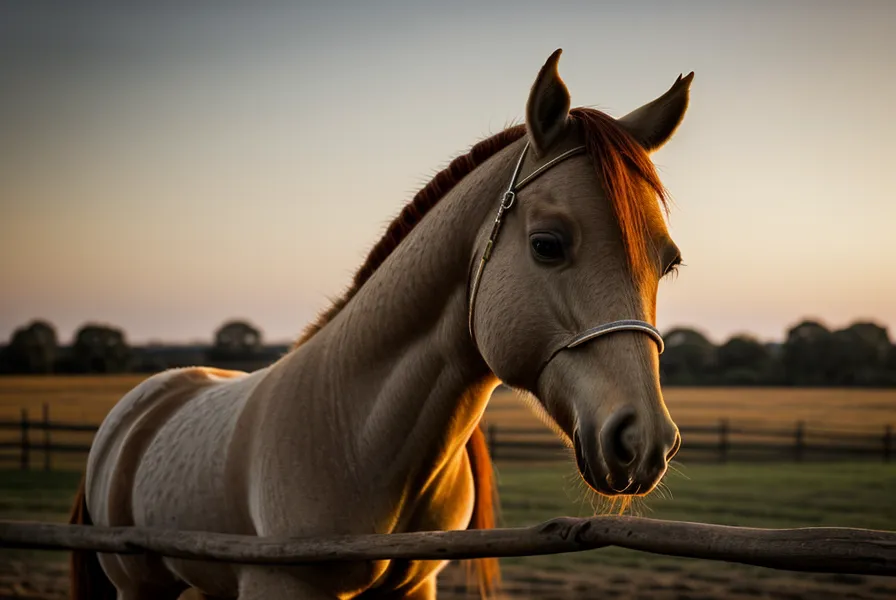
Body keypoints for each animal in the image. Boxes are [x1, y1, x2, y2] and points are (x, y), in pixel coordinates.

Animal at [69, 48, 693, 599]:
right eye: (547, 244)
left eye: (668, 262)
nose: (644, 441)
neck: (353, 428)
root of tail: (145, 401)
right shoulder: (279, 584)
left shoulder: (416, 587)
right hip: (139, 586)